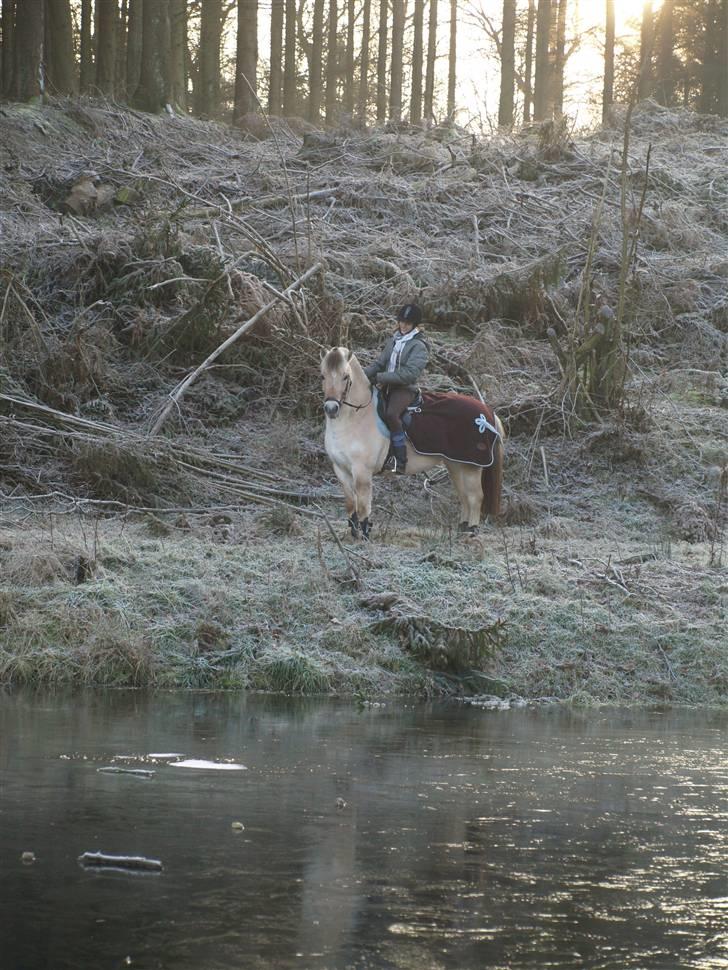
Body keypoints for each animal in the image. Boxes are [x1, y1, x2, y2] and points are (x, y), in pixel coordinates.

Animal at [322, 344, 504, 536]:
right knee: (464, 496)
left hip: (471, 467)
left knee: (475, 497)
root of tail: (487, 413)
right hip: (456, 464)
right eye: (323, 376)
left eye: (345, 377)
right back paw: (462, 528)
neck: (357, 416)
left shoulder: (362, 471)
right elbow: (351, 504)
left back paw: (471, 530)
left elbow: (363, 506)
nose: (331, 408)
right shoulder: (341, 470)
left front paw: (364, 535)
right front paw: (353, 533)